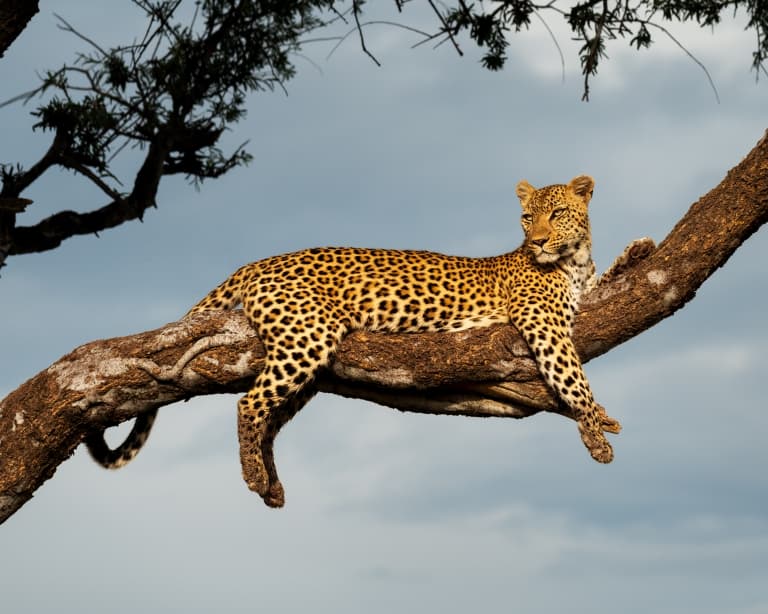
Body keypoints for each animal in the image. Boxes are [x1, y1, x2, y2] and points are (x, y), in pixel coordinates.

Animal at [88, 174, 636, 510]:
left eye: (558, 213)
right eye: (528, 217)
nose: (538, 240)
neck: (573, 261)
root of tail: (257, 262)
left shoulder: (585, 293)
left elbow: (611, 283)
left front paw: (637, 250)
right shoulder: (544, 324)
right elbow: (574, 378)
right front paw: (597, 435)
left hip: (308, 361)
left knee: (271, 417)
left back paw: (271, 484)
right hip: (308, 335)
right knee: (249, 404)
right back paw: (252, 476)